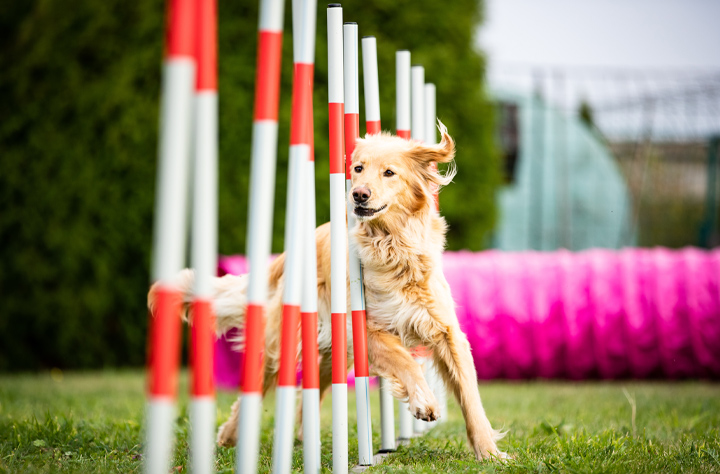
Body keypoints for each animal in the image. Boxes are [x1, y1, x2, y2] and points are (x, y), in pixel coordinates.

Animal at [148, 121, 506, 460]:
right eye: (358, 168)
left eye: (389, 172)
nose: (359, 194)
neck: (392, 248)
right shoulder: (360, 328)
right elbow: (405, 360)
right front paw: (424, 402)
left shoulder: (446, 331)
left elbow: (470, 394)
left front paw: (489, 452)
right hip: (288, 340)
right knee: (258, 385)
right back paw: (231, 435)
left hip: (329, 353)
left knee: (309, 394)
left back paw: (305, 439)